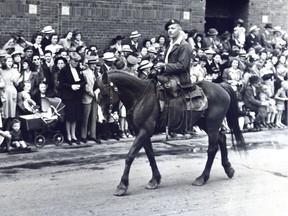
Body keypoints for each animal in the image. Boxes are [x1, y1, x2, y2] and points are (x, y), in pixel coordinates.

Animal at [97, 69, 245, 196]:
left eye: (104, 94)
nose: (103, 118)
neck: (140, 97)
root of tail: (220, 86)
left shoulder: (144, 131)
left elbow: (130, 156)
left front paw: (122, 186)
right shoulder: (143, 133)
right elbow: (150, 155)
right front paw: (154, 180)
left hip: (212, 125)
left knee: (212, 149)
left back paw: (202, 178)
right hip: (205, 124)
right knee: (222, 138)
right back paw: (228, 169)